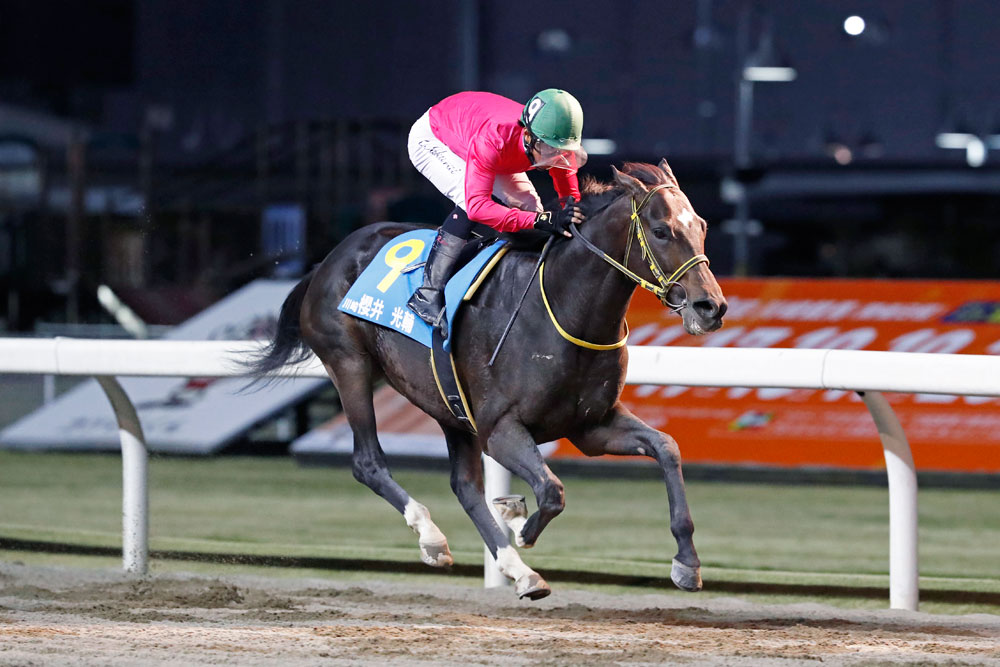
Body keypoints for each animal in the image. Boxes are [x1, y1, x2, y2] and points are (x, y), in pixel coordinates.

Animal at [247, 159, 727, 599]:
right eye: (661, 230)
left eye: (702, 226)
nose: (711, 307)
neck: (563, 306)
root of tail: (328, 260)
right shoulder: (500, 429)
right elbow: (552, 490)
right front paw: (521, 523)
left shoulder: (591, 426)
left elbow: (666, 448)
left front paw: (687, 563)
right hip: (350, 365)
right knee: (368, 461)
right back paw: (433, 537)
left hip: (446, 402)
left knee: (464, 486)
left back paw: (519, 571)